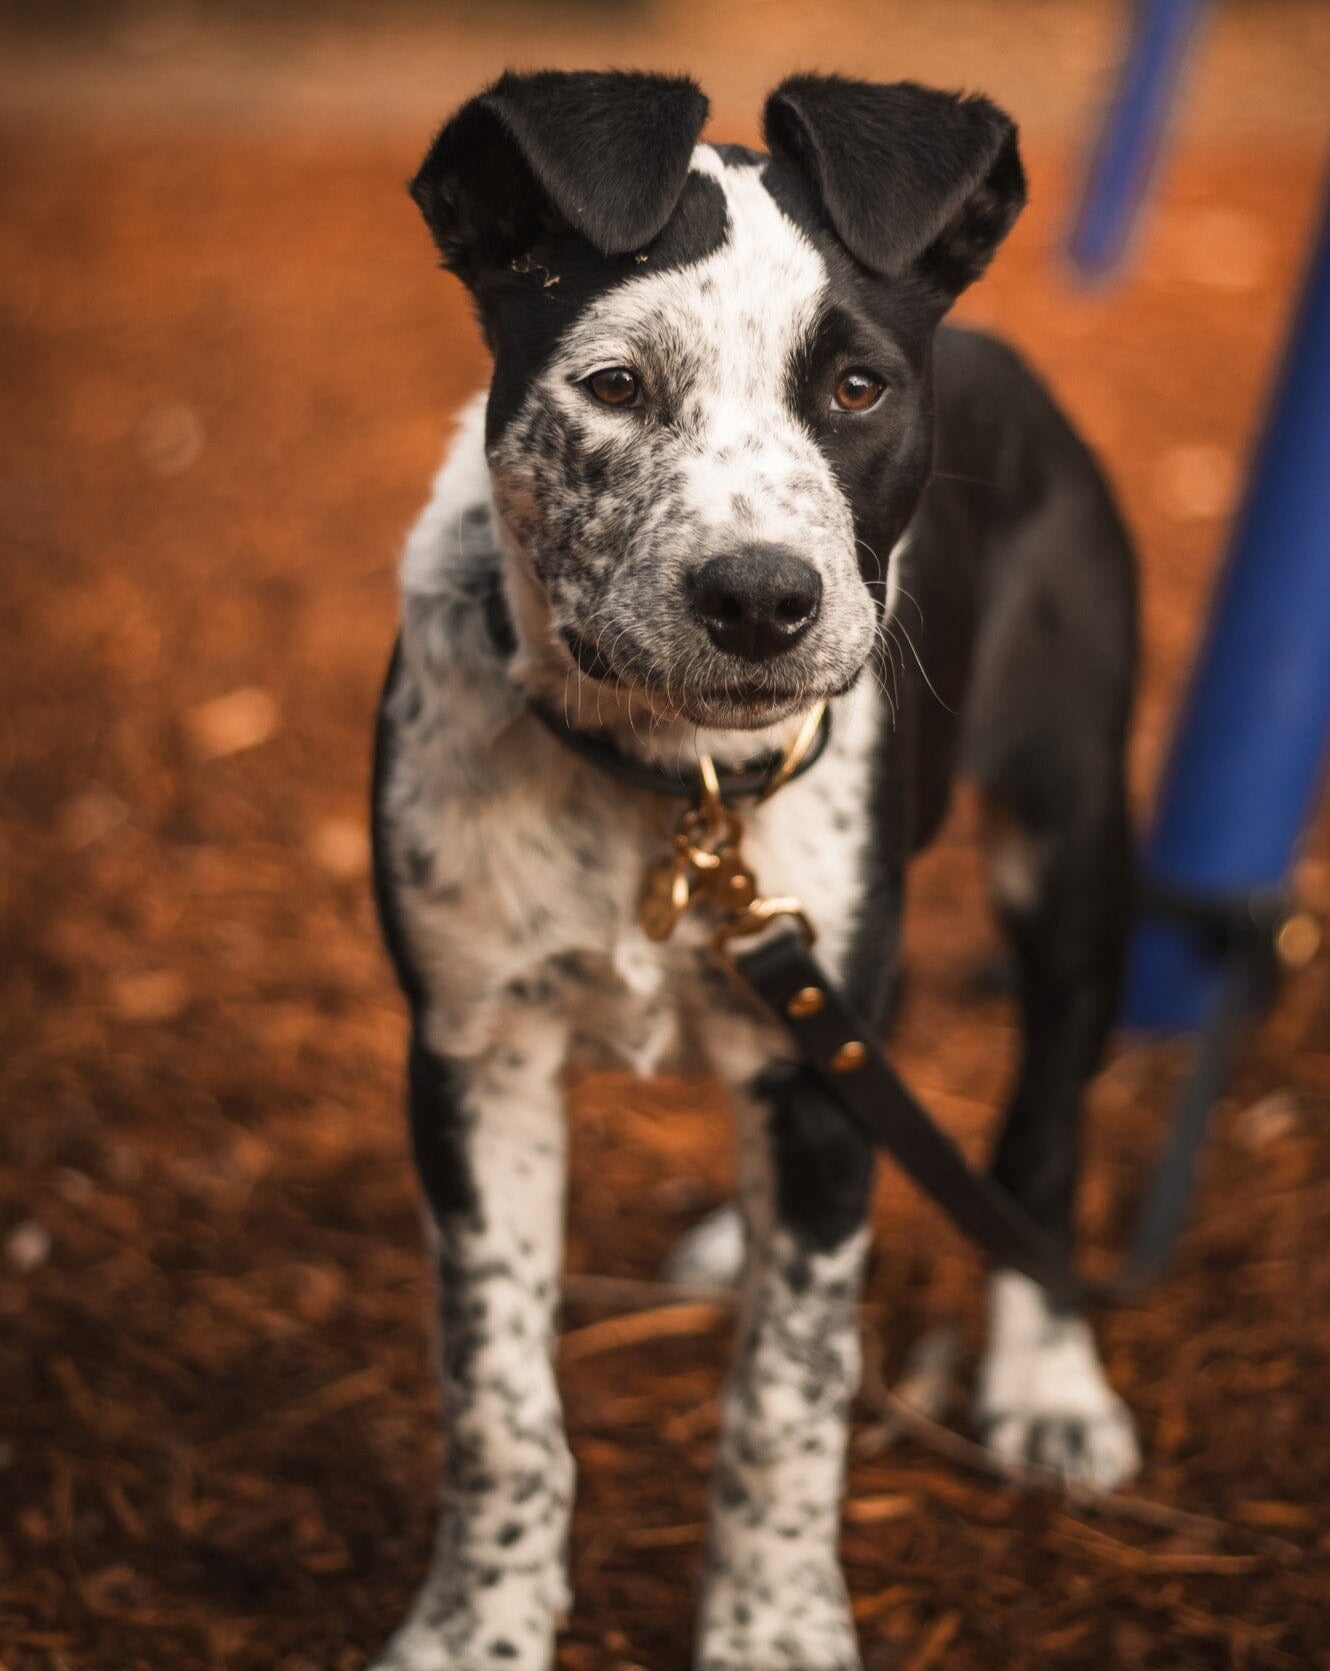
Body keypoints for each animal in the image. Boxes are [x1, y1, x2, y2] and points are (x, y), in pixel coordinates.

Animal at [369, 68, 1136, 1671]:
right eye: (610, 386)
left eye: (854, 389)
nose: (760, 600)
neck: (674, 788)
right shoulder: (472, 1052)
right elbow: (499, 1402)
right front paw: (477, 1626)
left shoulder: (827, 1073)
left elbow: (788, 1399)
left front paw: (772, 1628)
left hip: (1070, 841)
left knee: (1038, 1130)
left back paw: (1046, 1382)